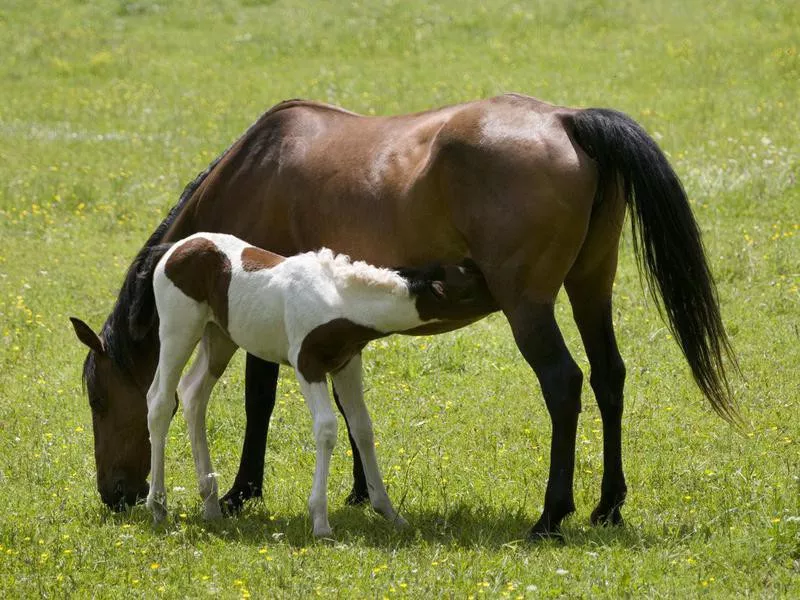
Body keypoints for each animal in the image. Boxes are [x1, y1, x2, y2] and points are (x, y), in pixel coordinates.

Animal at [146, 232, 490, 536]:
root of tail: (173, 249)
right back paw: (158, 505)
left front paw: (389, 512)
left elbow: (362, 427)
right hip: (179, 331)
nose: (496, 287)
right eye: (467, 286)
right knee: (160, 402)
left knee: (193, 394)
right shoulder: (307, 366)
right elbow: (326, 428)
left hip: (218, 337)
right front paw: (321, 522)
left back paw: (211, 506)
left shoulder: (347, 364)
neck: (339, 300)